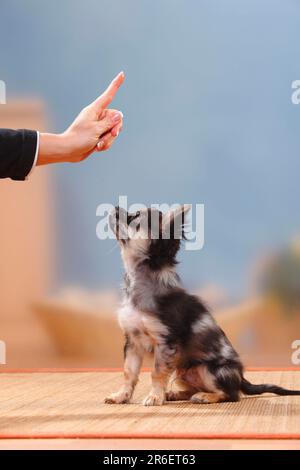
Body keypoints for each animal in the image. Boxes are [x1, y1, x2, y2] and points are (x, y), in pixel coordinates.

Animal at [105, 207, 300, 406]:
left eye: (135, 217)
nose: (114, 208)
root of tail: (241, 378)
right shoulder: (132, 342)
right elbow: (128, 372)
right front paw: (121, 396)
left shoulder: (165, 344)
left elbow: (157, 373)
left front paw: (154, 396)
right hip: (182, 370)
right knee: (193, 388)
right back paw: (175, 394)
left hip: (208, 369)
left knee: (231, 394)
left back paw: (205, 396)